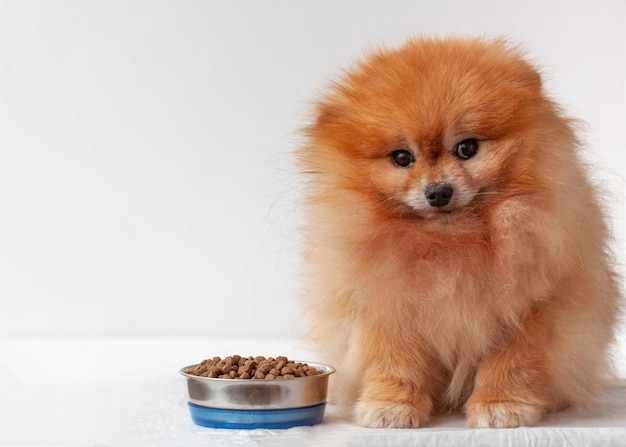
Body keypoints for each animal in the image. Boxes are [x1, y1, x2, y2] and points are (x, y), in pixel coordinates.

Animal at [298, 38, 620, 430]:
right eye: (402, 157)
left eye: (467, 147)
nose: (438, 192)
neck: (451, 246)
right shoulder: (387, 308)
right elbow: (395, 363)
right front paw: (391, 407)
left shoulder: (528, 310)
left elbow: (511, 363)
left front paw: (502, 406)